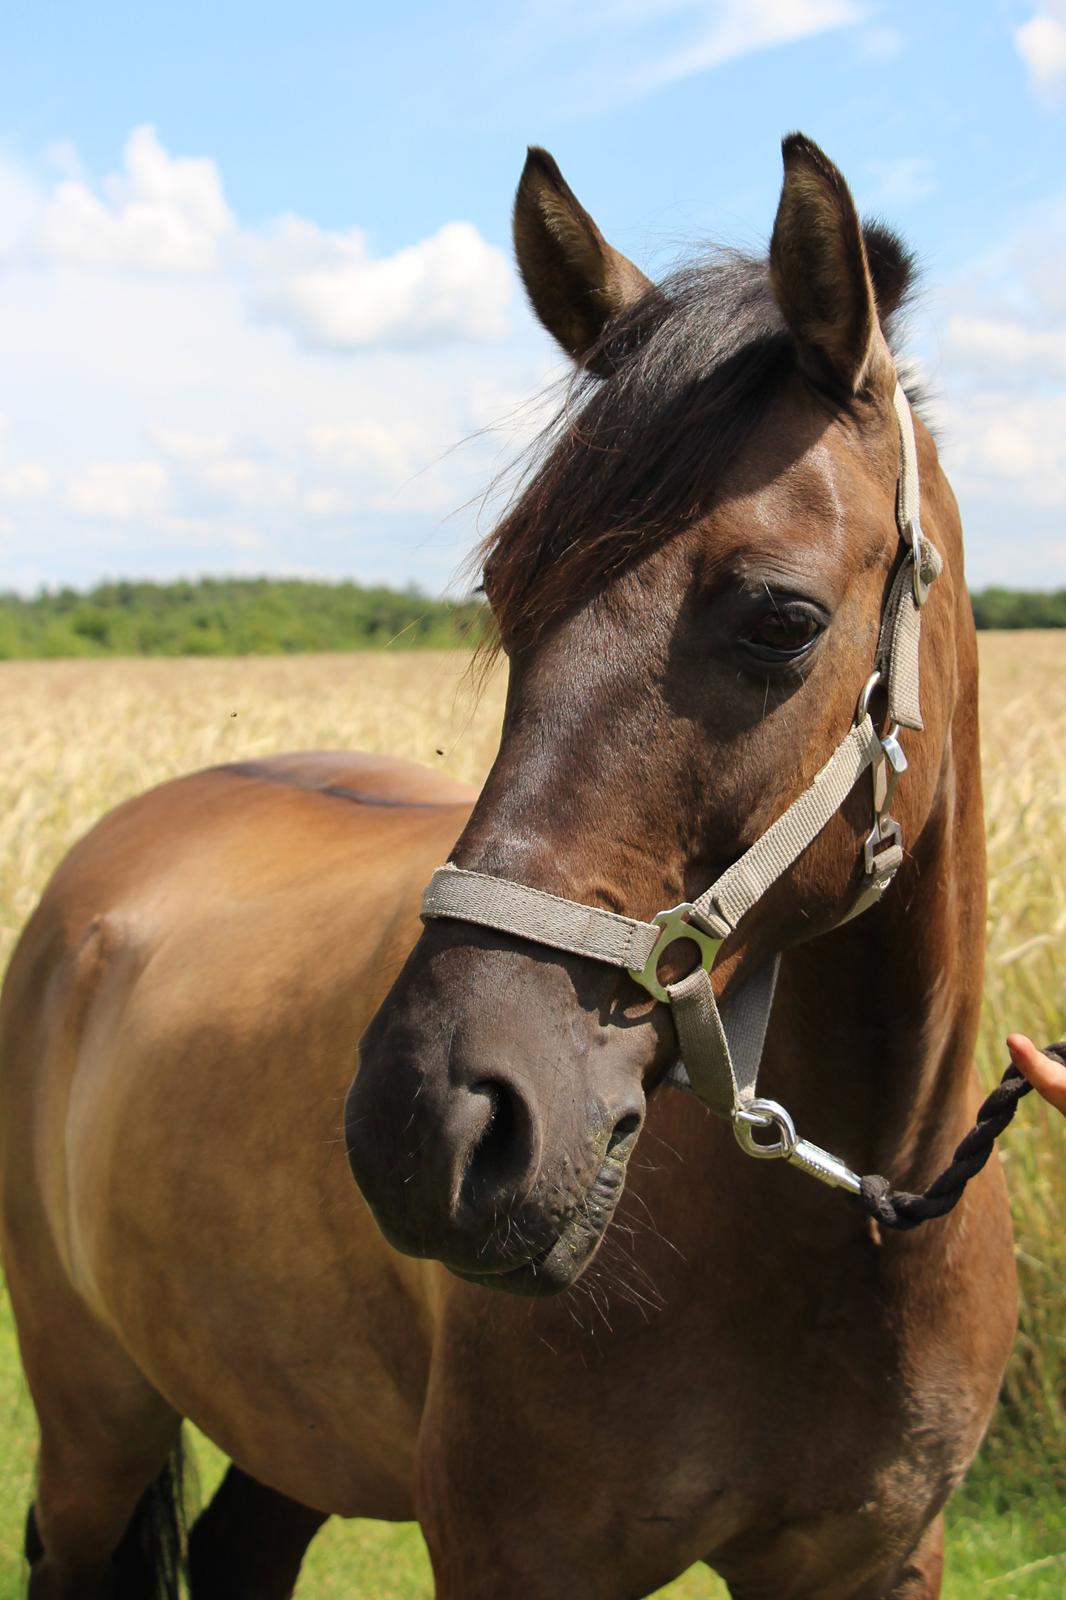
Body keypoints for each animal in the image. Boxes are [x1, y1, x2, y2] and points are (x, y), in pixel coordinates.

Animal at [0, 137, 1011, 1600]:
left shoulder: (874, 1562)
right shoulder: (512, 1555)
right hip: (92, 1426)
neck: (844, 1225)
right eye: (504, 592)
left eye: (782, 620)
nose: (430, 1119)